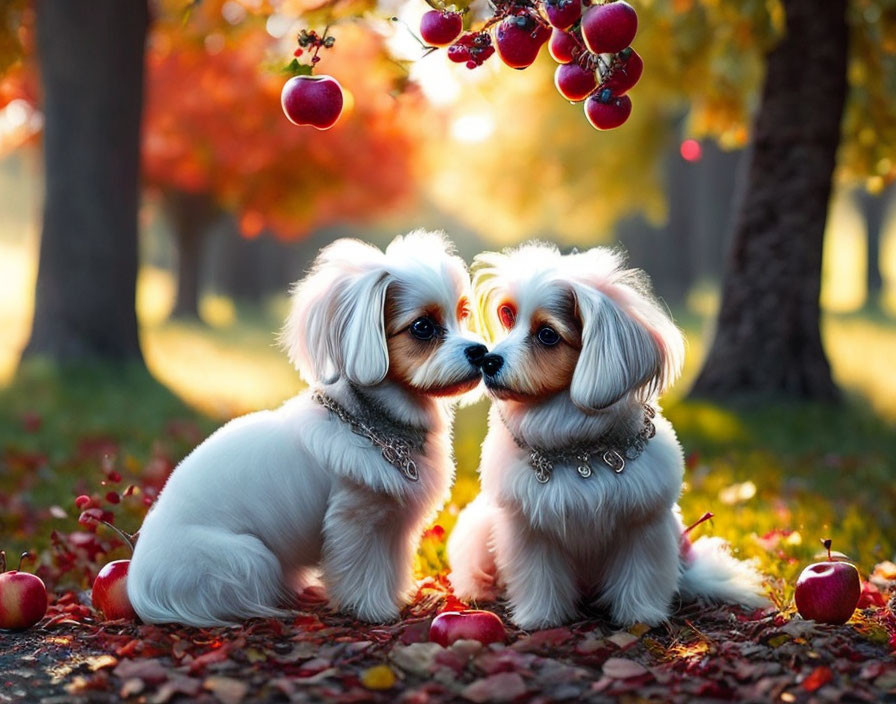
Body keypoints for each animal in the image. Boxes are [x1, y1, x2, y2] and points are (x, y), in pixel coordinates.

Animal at [128, 231, 484, 628]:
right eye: (423, 327)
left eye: (463, 314)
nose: (481, 351)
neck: (376, 426)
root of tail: (140, 589)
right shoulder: (359, 520)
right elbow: (365, 573)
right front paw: (374, 610)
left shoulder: (393, 525)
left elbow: (392, 569)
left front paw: (399, 598)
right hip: (248, 558)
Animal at [444, 242, 768, 628]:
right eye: (507, 316)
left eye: (547, 335)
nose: (488, 360)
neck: (579, 449)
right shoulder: (529, 528)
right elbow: (538, 576)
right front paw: (542, 618)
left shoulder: (643, 525)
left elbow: (640, 574)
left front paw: (639, 616)